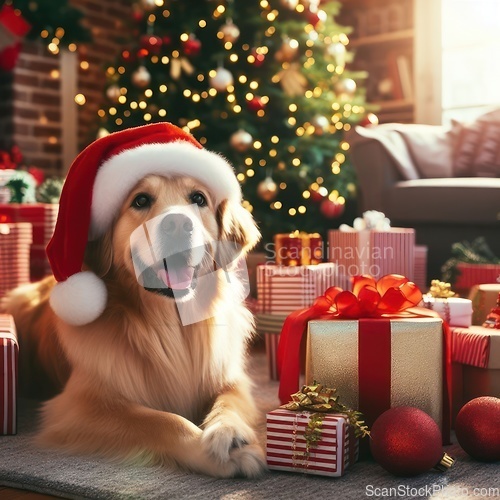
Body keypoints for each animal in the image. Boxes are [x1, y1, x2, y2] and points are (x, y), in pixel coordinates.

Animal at [1, 123, 268, 478]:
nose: (178, 224)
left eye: (198, 198)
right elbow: (161, 420)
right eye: (141, 200)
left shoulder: (232, 380)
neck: (169, 325)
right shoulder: (81, 405)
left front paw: (230, 433)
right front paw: (211, 451)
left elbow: (229, 403)